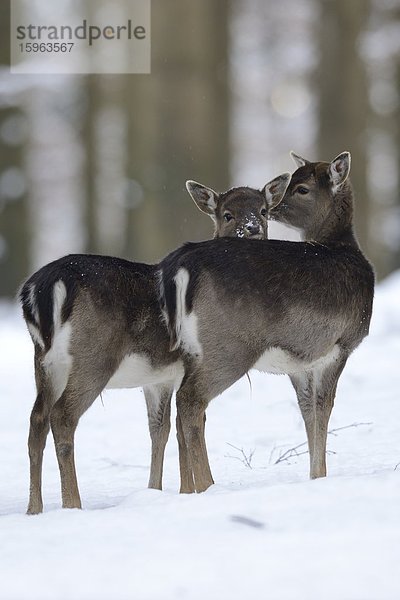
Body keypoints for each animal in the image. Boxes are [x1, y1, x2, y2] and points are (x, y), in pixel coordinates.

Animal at [20, 175, 290, 516]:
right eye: (227, 214)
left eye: (265, 210)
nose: (252, 229)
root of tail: (39, 290)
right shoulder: (190, 365)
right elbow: (187, 424)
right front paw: (190, 490)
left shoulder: (159, 378)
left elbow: (160, 429)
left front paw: (162, 490)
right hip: (93, 356)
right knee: (62, 417)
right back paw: (73, 503)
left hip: (45, 361)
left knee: (36, 420)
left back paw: (34, 508)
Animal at [159, 152, 376, 494]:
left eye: (301, 188)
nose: (273, 210)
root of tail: (180, 263)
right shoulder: (341, 344)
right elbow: (325, 406)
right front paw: (321, 475)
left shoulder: (300, 361)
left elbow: (307, 409)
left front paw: (314, 475)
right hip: (230, 345)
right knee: (190, 400)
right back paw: (208, 485)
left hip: (189, 349)